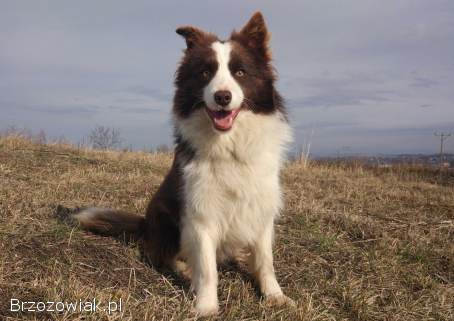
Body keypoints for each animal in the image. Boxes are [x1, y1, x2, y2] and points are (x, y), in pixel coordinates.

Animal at [73, 12, 294, 316]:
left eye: (240, 72)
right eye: (205, 73)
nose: (222, 97)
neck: (229, 146)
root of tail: (145, 224)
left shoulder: (261, 208)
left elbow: (265, 260)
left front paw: (274, 296)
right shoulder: (200, 213)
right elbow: (208, 268)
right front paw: (206, 307)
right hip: (166, 217)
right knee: (163, 255)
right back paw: (186, 270)